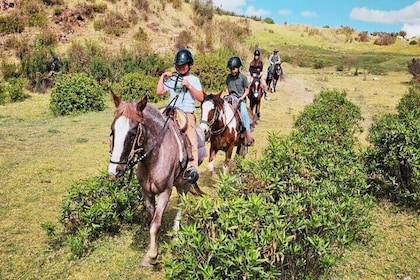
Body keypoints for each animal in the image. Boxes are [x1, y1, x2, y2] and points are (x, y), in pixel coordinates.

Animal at [107, 92, 206, 266]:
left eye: (132, 133)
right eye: (113, 130)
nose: (114, 170)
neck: (154, 157)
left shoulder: (165, 192)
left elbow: (156, 223)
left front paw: (152, 256)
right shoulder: (146, 192)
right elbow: (150, 220)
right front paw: (152, 248)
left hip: (185, 183)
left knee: (181, 203)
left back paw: (175, 235)